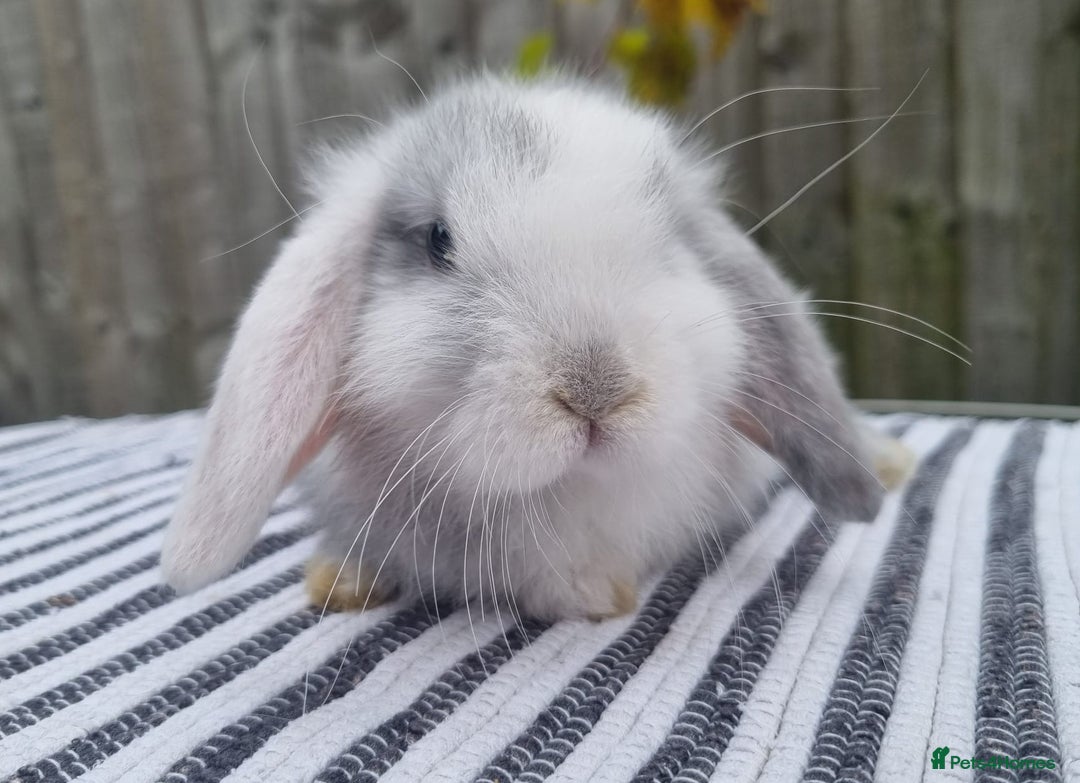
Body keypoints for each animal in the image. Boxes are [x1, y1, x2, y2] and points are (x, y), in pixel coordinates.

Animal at [160, 74, 913, 622]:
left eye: (670, 242)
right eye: (439, 240)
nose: (596, 391)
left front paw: (598, 596)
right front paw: (339, 582)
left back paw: (889, 462)